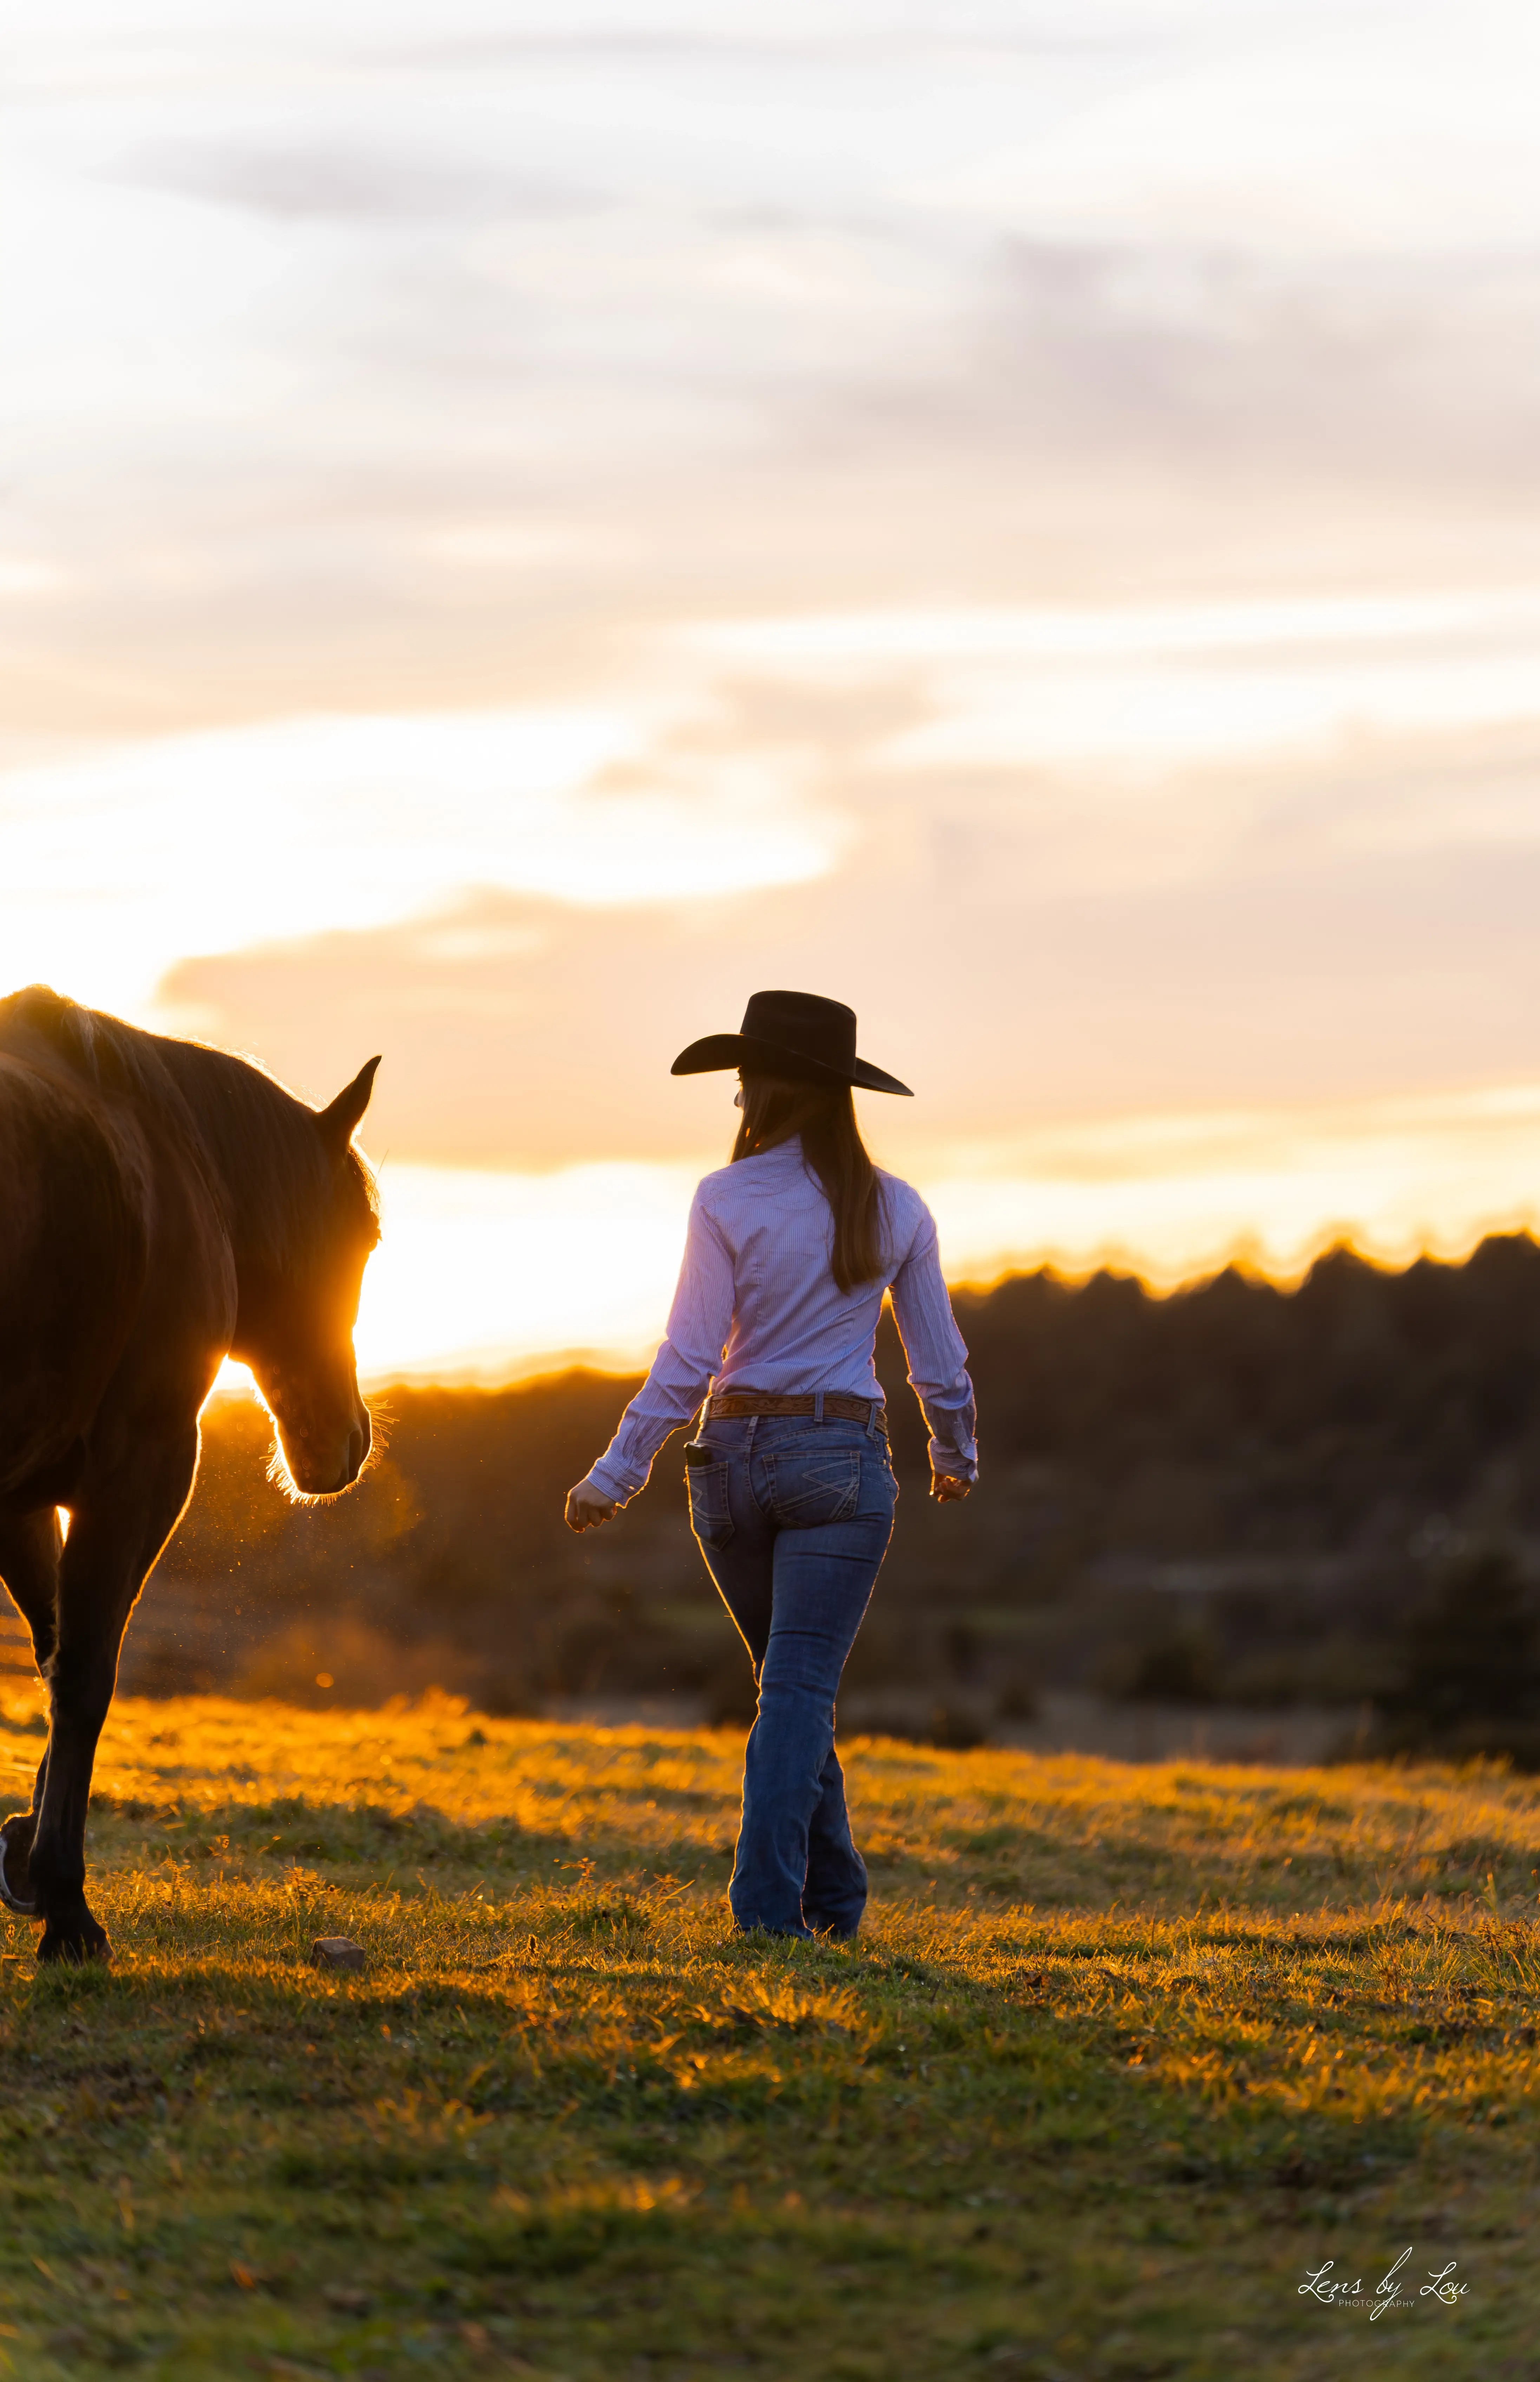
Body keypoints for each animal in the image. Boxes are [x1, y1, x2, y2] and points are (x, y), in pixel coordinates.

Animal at [0, 985, 381, 1962]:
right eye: (365, 1236)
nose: (348, 1440)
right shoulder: (143, 1466)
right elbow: (85, 1671)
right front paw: (65, 1905)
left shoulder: (21, 1495)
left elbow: (55, 1654)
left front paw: (24, 1854)